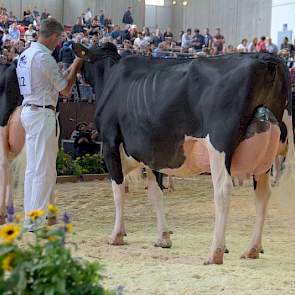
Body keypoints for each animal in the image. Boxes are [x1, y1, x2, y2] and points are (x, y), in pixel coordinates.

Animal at [73, 43, 294, 266]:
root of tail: (265, 58)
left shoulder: (110, 143)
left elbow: (118, 191)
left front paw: (116, 235)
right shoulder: (153, 153)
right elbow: (156, 193)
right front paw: (163, 237)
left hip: (219, 145)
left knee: (223, 191)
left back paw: (215, 252)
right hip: (266, 152)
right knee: (263, 195)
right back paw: (252, 249)